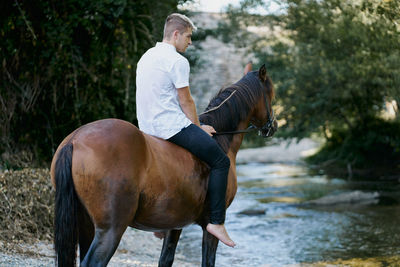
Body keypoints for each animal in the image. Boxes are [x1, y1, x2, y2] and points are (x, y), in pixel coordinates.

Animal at [50, 63, 276, 266]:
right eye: (271, 95)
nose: (273, 126)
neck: (221, 138)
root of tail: (75, 140)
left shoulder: (175, 224)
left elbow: (166, 259)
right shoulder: (209, 227)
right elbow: (207, 261)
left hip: (86, 224)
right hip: (110, 229)